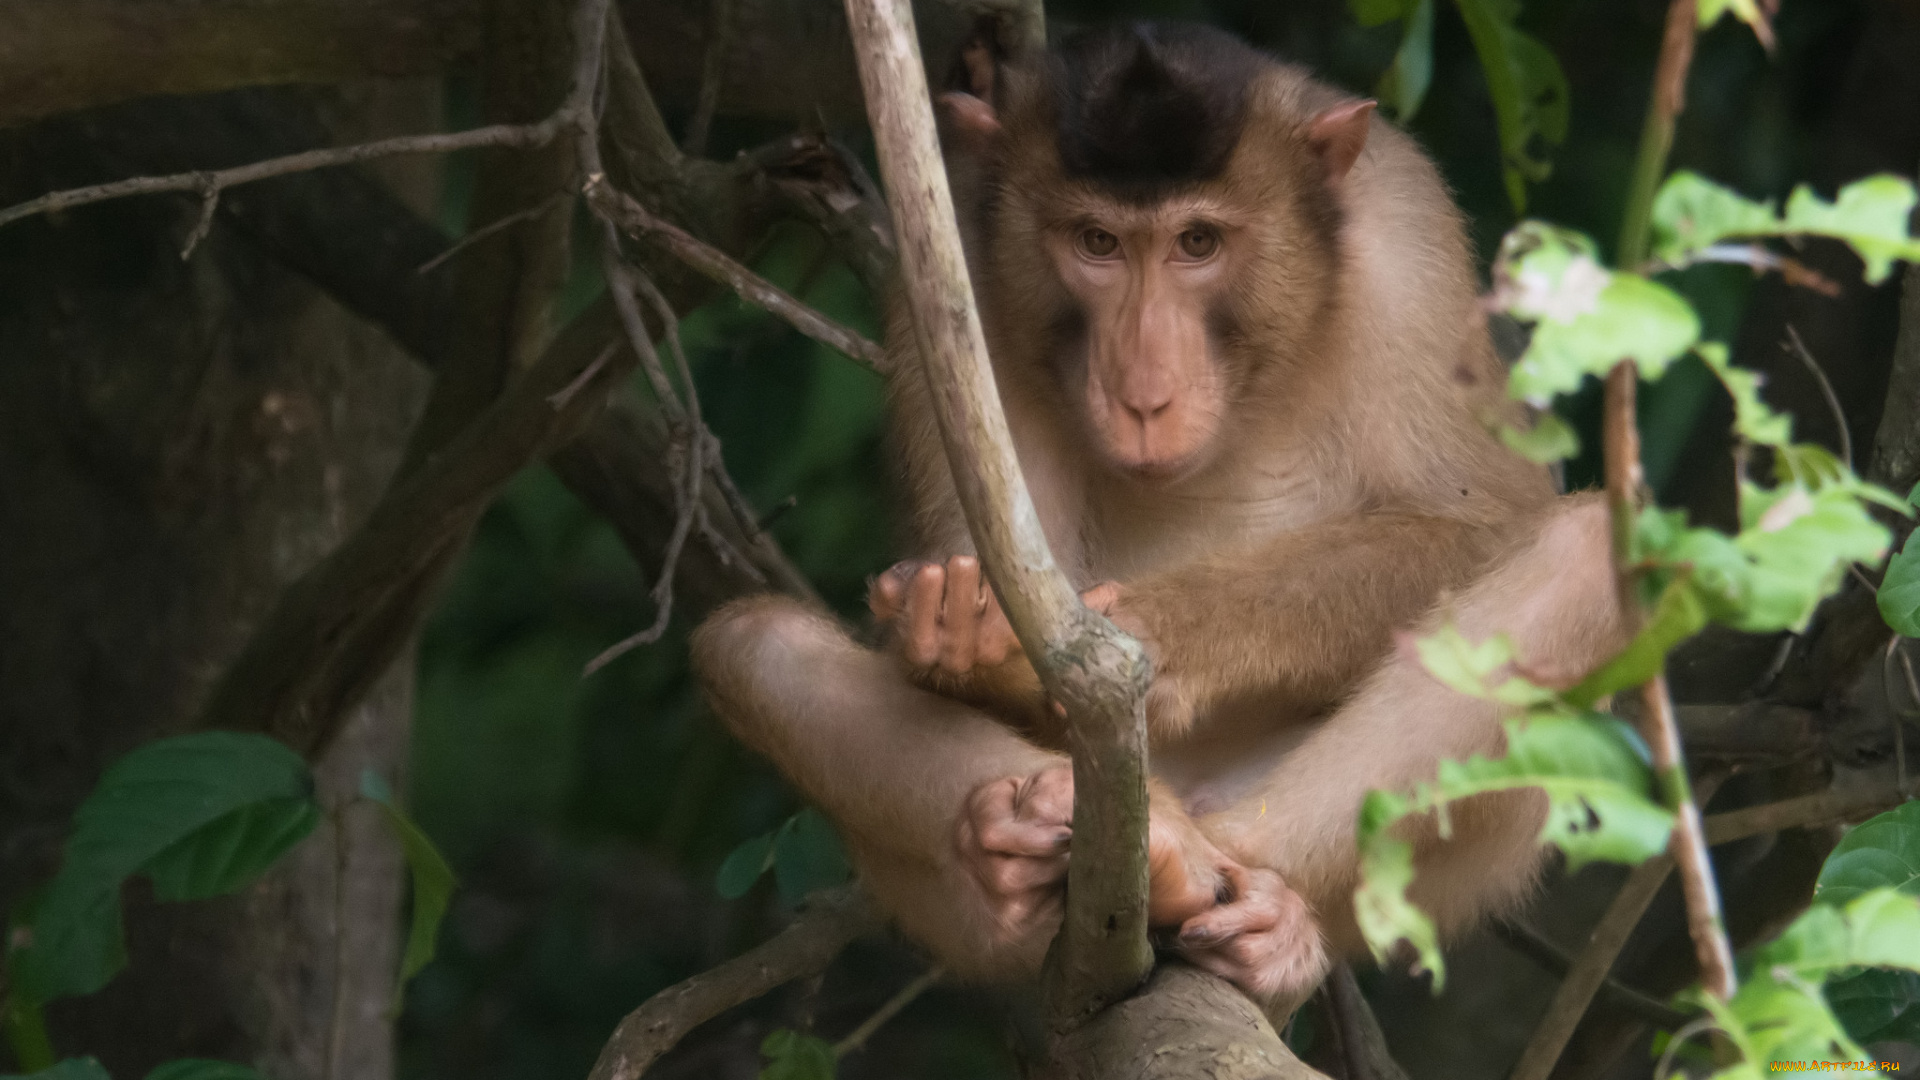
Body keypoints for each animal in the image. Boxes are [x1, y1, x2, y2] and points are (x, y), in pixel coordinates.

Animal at [683, 21, 1628, 1006]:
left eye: (1197, 242)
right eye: (1097, 241)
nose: (1143, 392)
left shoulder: (1407, 242)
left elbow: (1487, 519)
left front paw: (1145, 629)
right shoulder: (950, 267)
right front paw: (959, 630)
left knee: (1588, 552)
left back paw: (1245, 898)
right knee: (755, 648)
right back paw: (1022, 852)